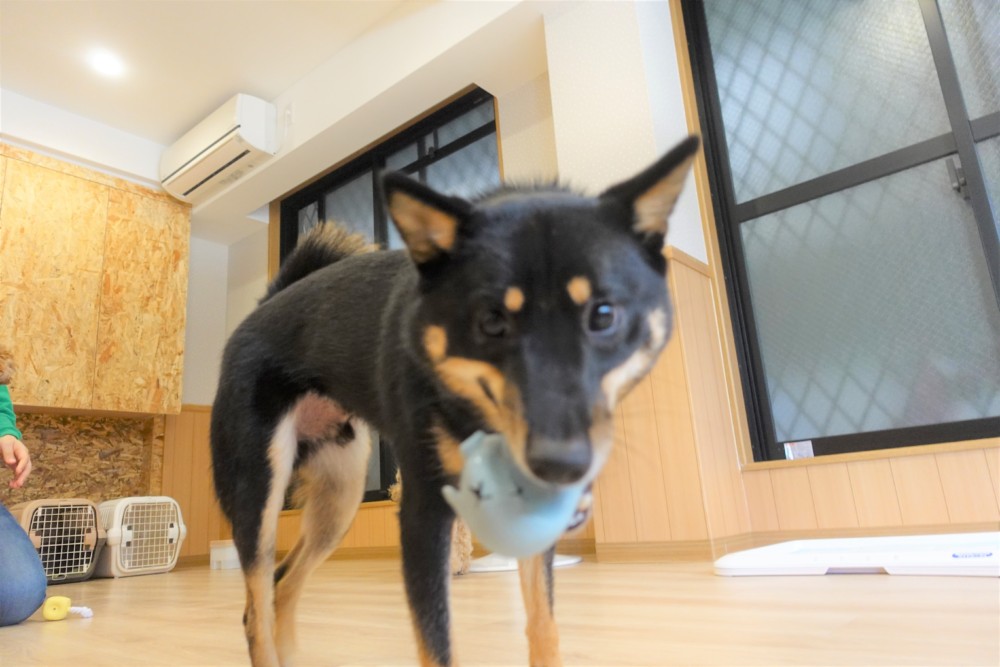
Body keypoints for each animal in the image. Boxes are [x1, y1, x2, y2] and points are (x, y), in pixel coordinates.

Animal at [210, 135, 699, 667]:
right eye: (491, 322)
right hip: (260, 492)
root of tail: (260, 311)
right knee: (256, 607)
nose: (561, 464)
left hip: (338, 499)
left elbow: (543, 625)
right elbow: (437, 643)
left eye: (603, 315)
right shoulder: (424, 514)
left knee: (281, 587)